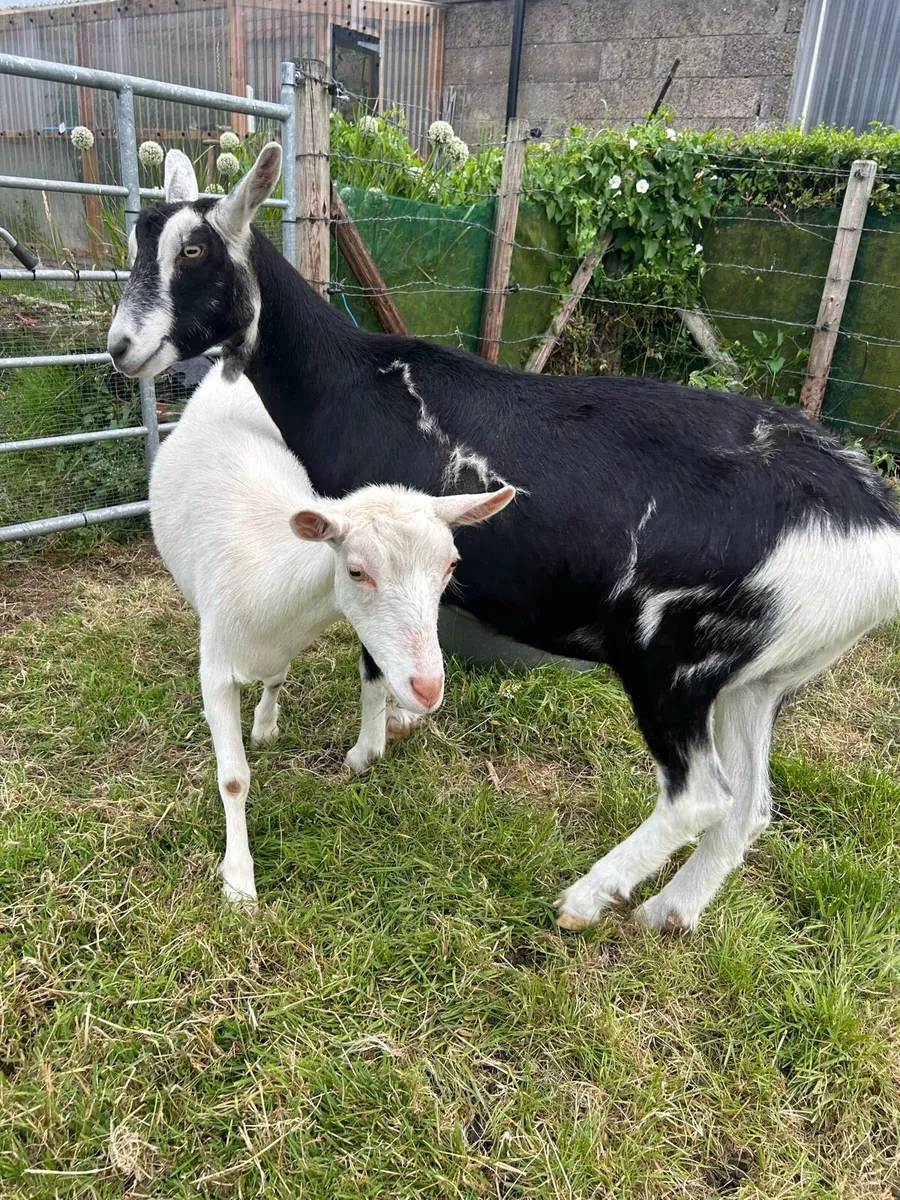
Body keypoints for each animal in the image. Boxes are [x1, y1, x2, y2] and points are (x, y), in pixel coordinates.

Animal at [149, 360, 514, 902]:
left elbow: (278, 676)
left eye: (451, 565)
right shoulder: (215, 665)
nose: (428, 689)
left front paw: (265, 726)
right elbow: (233, 779)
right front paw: (238, 882)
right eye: (356, 571)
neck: (269, 580)